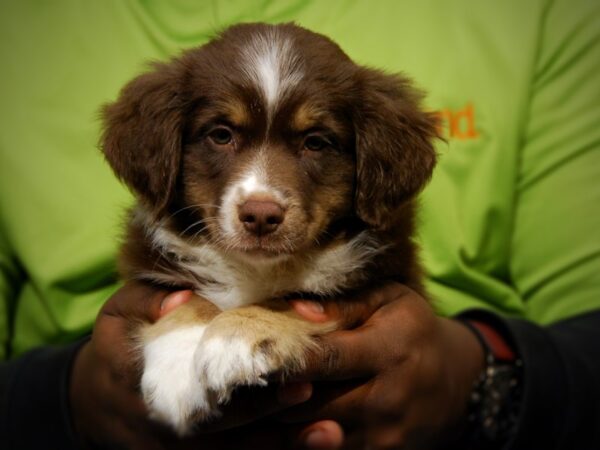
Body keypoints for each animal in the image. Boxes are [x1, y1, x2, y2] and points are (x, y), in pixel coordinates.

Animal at [101, 22, 438, 434]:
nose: (261, 216)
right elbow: (187, 297)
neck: (254, 271)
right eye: (221, 135)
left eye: (315, 142)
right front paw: (177, 370)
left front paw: (236, 336)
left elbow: (287, 299)